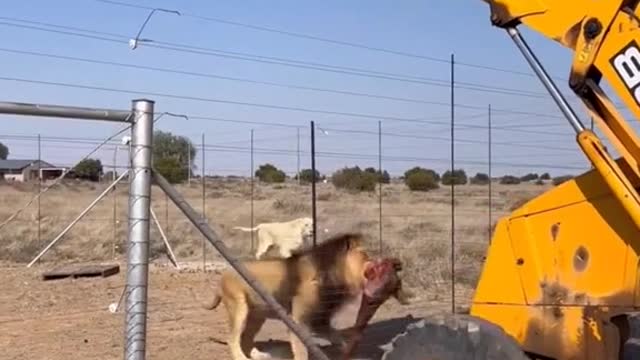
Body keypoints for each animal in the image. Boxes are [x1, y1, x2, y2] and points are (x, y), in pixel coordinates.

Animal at [205, 232, 372, 358]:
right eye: (364, 254)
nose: (373, 263)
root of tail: (224, 274)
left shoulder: (320, 318)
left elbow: (338, 338)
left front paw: (348, 350)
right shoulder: (299, 319)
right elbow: (301, 348)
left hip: (257, 315)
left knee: (246, 339)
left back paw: (259, 355)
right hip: (238, 308)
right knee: (232, 339)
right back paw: (241, 357)